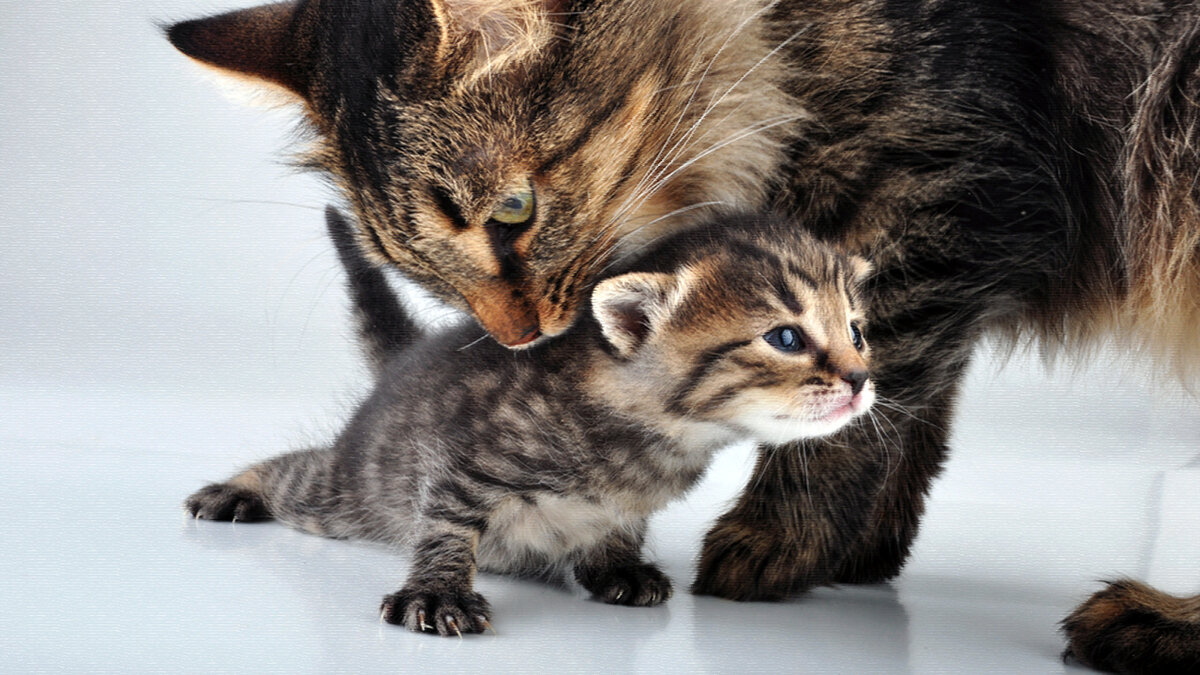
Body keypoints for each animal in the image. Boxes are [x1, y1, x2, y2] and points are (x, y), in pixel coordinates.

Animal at [185, 207, 875, 636]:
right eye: (785, 337)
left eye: (857, 332)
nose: (861, 378)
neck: (655, 436)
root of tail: (404, 362)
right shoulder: (461, 454)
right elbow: (446, 525)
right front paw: (437, 593)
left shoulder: (629, 502)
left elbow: (617, 529)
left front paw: (617, 565)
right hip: (356, 489)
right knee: (297, 473)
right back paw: (234, 491)